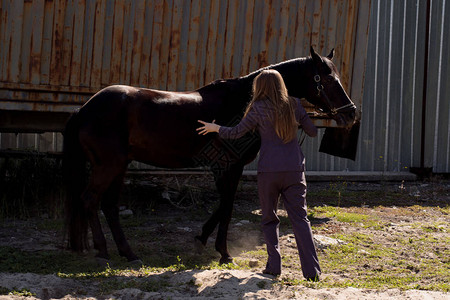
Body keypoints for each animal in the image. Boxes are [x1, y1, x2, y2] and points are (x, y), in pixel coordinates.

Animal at [62, 47, 356, 264]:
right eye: (327, 79)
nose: (351, 113)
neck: (243, 102)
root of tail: (84, 109)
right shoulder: (228, 167)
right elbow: (226, 206)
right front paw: (223, 252)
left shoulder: (227, 169)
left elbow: (223, 205)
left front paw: (202, 239)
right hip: (108, 165)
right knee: (90, 199)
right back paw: (103, 252)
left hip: (119, 165)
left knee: (109, 206)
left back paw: (128, 253)